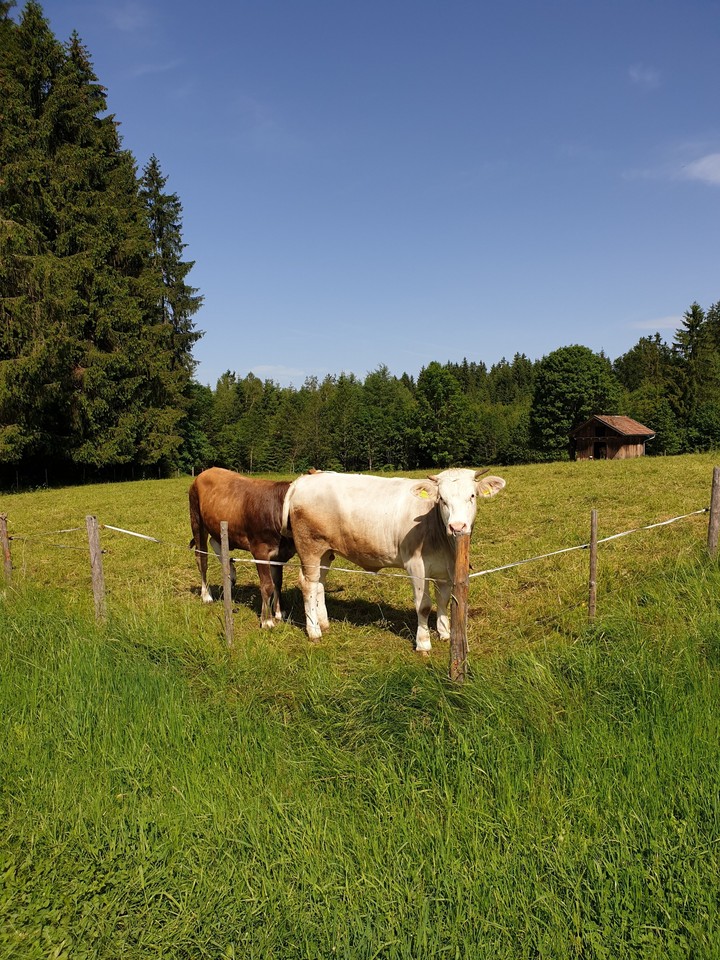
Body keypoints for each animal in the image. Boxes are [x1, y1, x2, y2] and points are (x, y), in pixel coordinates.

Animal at [189, 467, 296, 628]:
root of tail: (205, 472)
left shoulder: (279, 554)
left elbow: (278, 582)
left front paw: (279, 612)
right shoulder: (260, 550)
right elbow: (267, 585)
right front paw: (267, 621)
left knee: (216, 542)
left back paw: (230, 573)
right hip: (196, 520)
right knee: (202, 558)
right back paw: (206, 595)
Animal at [281, 468, 506, 651]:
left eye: (472, 495)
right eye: (442, 499)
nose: (457, 527)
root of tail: (305, 479)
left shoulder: (446, 569)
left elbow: (444, 600)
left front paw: (445, 633)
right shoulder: (416, 566)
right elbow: (424, 605)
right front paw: (423, 643)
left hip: (325, 552)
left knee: (319, 583)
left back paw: (323, 623)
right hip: (309, 547)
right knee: (308, 584)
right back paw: (314, 631)